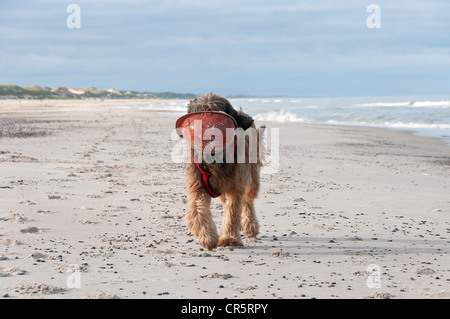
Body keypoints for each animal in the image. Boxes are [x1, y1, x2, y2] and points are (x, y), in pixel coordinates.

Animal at [183, 94, 264, 251]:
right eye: (199, 112)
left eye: (216, 112)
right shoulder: (197, 185)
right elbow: (197, 209)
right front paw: (207, 237)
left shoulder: (236, 186)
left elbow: (233, 212)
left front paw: (229, 239)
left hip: (252, 177)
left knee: (248, 200)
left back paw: (250, 225)